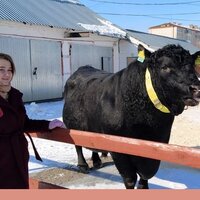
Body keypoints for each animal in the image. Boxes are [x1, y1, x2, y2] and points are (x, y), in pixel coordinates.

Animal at [62, 45, 200, 189]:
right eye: (165, 67)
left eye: (192, 65)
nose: (196, 88)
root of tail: (84, 68)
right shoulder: (118, 147)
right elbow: (130, 178)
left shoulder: (160, 140)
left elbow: (147, 173)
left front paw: (143, 186)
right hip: (71, 126)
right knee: (78, 145)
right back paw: (83, 165)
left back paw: (97, 160)